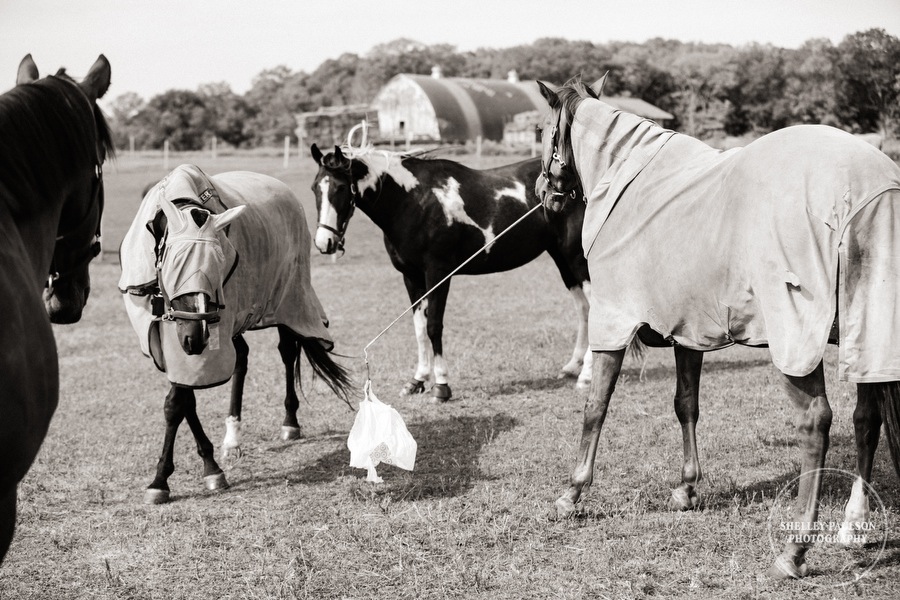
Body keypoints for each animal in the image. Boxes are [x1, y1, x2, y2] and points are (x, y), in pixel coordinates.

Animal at [121, 163, 354, 502]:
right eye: (175, 263)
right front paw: (200, 467)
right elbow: (183, 400)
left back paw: (289, 422)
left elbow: (176, 402)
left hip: (288, 297)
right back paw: (232, 438)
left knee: (287, 353)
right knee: (242, 359)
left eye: (223, 263)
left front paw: (166, 478)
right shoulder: (167, 340)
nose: (197, 336)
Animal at [312, 144, 596, 404]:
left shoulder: (438, 274)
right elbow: (419, 328)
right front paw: (417, 380)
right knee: (583, 309)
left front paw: (441, 385)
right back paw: (572, 367)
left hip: (577, 259)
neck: (414, 201)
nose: (324, 242)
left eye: (340, 188)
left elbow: (434, 326)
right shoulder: (411, 278)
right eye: (315, 188)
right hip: (561, 258)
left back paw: (586, 376)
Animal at [536, 79, 900, 580]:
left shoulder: (611, 320)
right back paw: (854, 525)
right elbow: (685, 405)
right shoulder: (688, 328)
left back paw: (794, 550)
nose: (545, 194)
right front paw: (687, 489)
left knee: (815, 423)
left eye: (544, 130)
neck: (631, 180)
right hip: (866, 330)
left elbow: (595, 408)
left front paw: (571, 495)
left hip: (797, 335)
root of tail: (871, 189)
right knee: (866, 420)